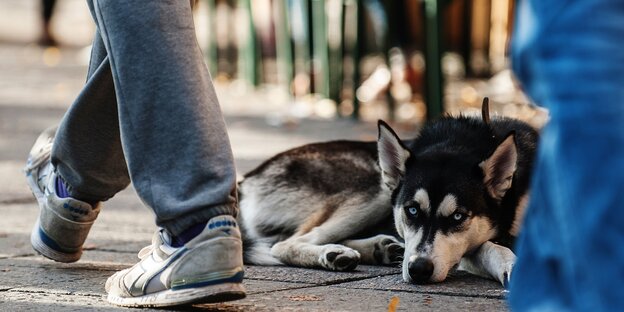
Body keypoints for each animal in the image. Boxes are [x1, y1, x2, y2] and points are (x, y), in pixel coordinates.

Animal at [236, 98, 540, 286]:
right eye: (412, 210)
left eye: (457, 217)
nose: (418, 270)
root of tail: (246, 181)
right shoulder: (466, 250)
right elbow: (490, 247)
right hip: (374, 188)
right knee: (285, 244)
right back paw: (333, 254)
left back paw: (377, 249)